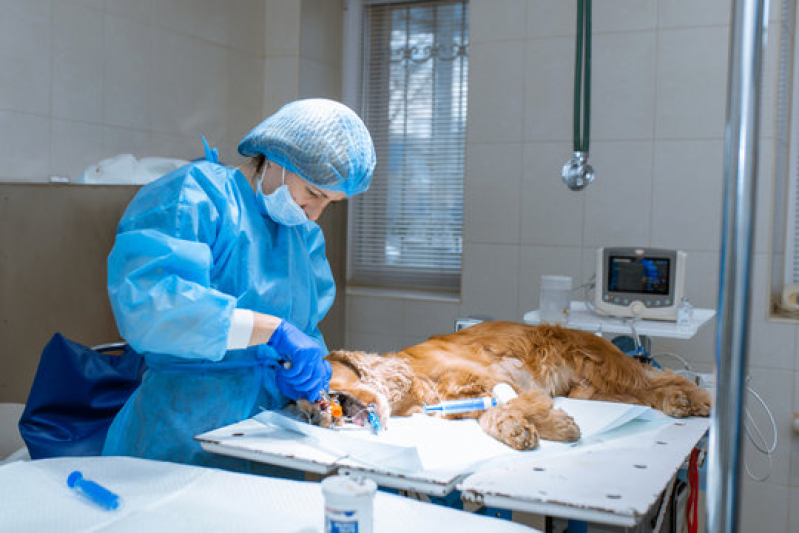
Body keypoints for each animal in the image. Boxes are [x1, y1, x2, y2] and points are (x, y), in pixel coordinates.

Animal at [296, 320, 708, 448]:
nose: (313, 417)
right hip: (601, 387)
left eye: (318, 379)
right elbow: (489, 415)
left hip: (604, 364)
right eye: (295, 409)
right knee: (647, 390)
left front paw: (555, 424)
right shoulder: (469, 397)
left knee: (660, 376)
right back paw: (677, 402)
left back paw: (694, 399)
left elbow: (518, 402)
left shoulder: (493, 377)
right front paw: (515, 430)